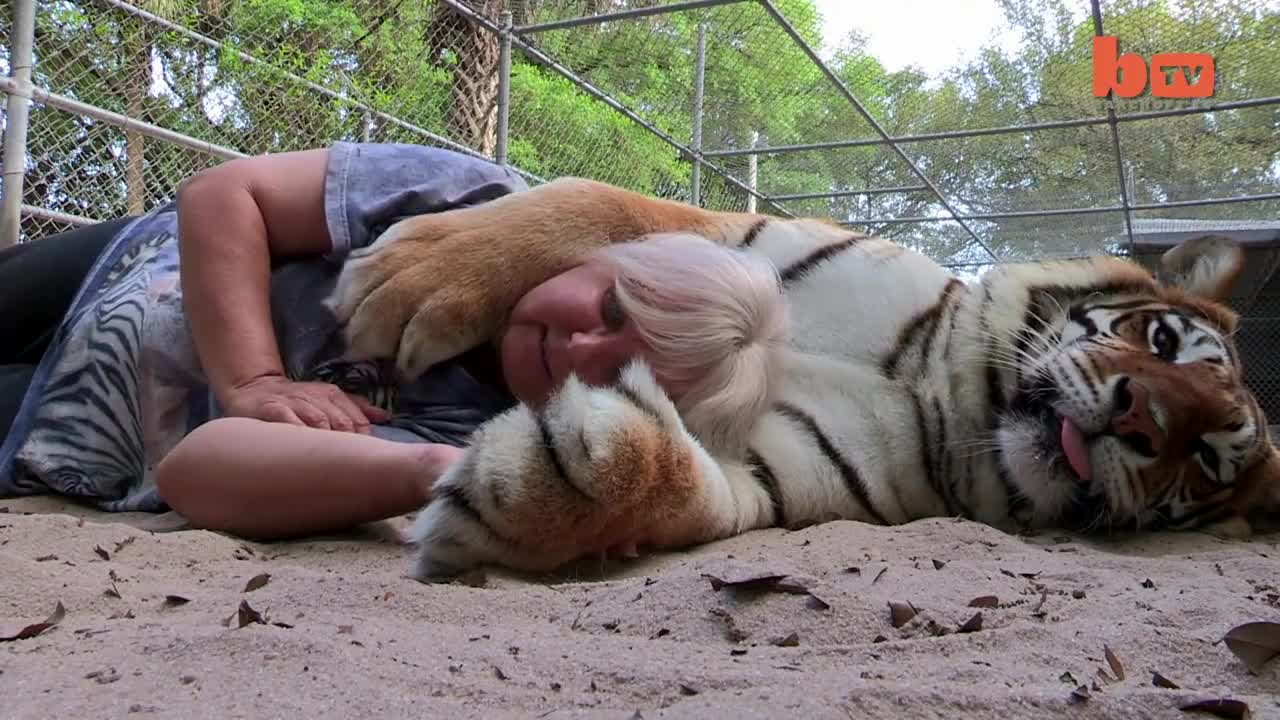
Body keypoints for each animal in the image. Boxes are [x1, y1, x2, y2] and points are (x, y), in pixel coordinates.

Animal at [327, 176, 1280, 579]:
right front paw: (405, 278)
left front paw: (534, 484)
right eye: (1161, 339)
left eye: (1205, 463)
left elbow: (690, 489)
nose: (1141, 420)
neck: (940, 389)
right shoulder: (729, 234)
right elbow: (593, 202)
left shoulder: (779, 471)